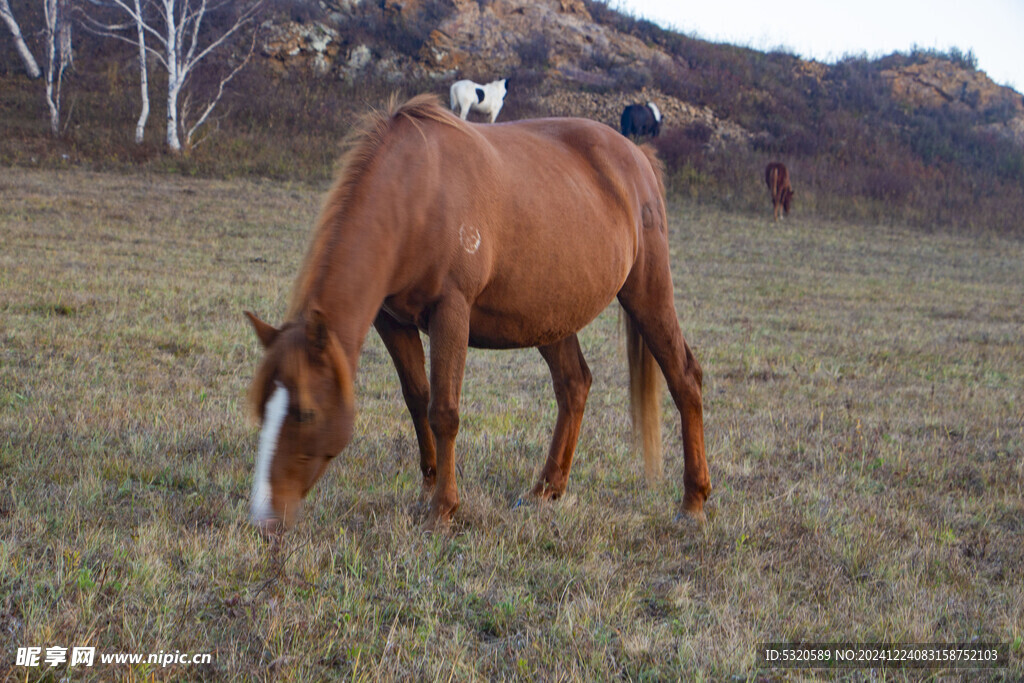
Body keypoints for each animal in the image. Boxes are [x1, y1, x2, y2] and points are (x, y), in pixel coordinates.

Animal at [245, 94, 712, 532]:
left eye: (306, 412)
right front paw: (428, 486)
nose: (265, 515)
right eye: (263, 406)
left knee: (683, 378)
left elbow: (444, 411)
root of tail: (638, 157)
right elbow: (418, 399)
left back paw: (692, 501)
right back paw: (546, 489)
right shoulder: (391, 321)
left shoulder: (451, 312)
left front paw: (442, 509)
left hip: (647, 293)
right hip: (551, 316)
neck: (417, 192)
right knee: (574, 385)